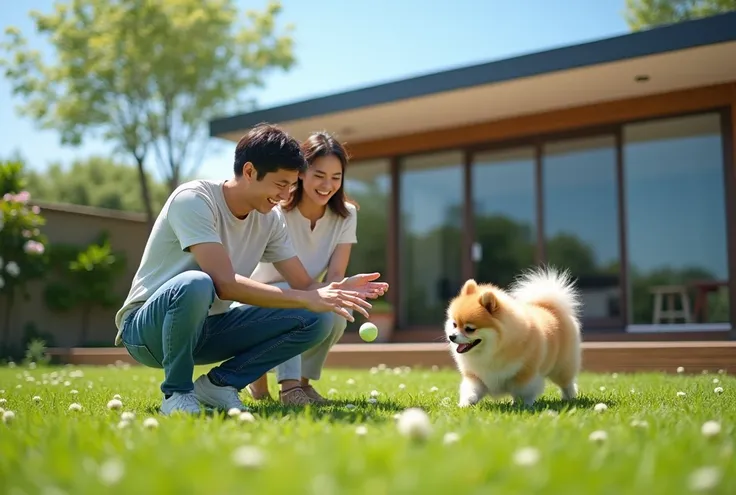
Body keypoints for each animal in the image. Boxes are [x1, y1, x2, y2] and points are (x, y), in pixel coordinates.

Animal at [442, 266, 580, 408]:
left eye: (469, 329)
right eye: (454, 324)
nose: (451, 336)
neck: (492, 350)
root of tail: (549, 307)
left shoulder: (525, 373)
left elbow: (524, 392)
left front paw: (524, 405)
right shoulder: (476, 376)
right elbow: (470, 390)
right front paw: (465, 404)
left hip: (561, 367)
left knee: (567, 382)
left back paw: (569, 397)